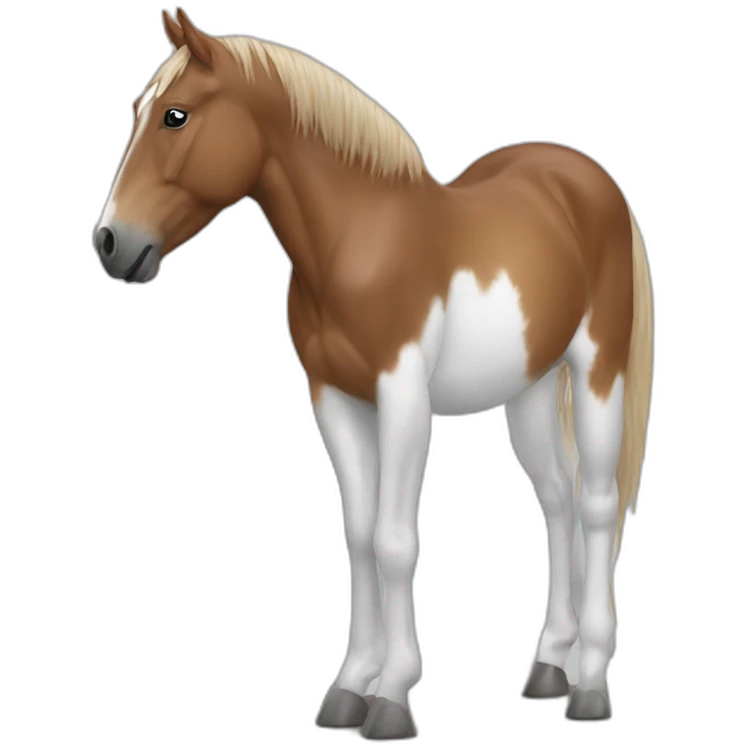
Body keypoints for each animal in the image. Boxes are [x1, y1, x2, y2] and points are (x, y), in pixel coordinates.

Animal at [92, 9, 654, 739]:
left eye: (175, 116)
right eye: (139, 111)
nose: (109, 244)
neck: (355, 239)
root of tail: (585, 178)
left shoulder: (401, 397)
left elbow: (393, 543)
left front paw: (391, 696)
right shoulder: (335, 398)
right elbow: (359, 539)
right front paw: (349, 687)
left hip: (596, 370)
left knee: (595, 504)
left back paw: (589, 682)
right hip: (530, 387)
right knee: (556, 499)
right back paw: (550, 667)